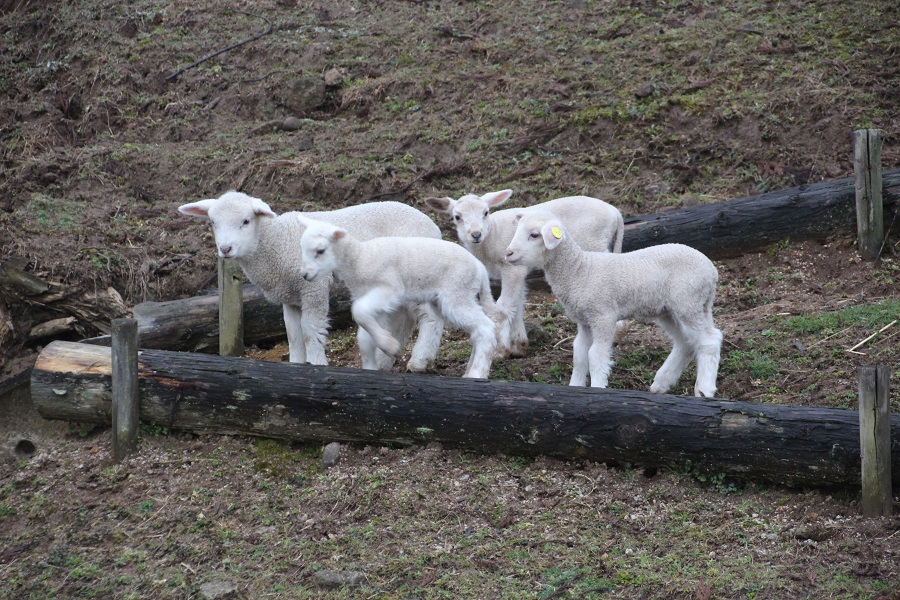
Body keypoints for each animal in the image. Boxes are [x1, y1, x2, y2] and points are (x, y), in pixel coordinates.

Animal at [178, 191, 444, 370]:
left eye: (245, 221)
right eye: (213, 222)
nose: (225, 249)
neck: (275, 243)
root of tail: (433, 227)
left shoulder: (313, 289)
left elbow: (309, 330)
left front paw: (317, 363)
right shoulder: (290, 297)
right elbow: (293, 333)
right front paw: (296, 365)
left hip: (417, 274)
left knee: (430, 318)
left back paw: (419, 361)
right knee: (403, 319)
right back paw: (385, 359)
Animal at [298, 217, 502, 380]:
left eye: (321, 250)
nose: (304, 275)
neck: (360, 259)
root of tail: (480, 268)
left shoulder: (389, 289)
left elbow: (359, 312)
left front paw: (390, 346)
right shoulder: (374, 301)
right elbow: (364, 334)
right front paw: (371, 367)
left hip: (457, 293)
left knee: (485, 326)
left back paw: (477, 374)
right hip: (450, 298)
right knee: (477, 330)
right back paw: (469, 372)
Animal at [426, 189, 624, 356]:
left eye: (486, 213)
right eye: (457, 217)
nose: (476, 234)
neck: (492, 236)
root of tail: (615, 212)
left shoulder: (512, 269)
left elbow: (504, 304)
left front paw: (500, 349)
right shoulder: (519, 270)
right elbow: (518, 303)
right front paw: (518, 345)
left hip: (594, 242)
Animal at [506, 209, 724, 396]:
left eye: (535, 235)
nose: (508, 253)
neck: (579, 270)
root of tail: (711, 270)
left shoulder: (603, 315)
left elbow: (595, 356)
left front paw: (598, 388)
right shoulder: (585, 321)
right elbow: (579, 354)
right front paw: (575, 387)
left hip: (688, 301)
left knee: (709, 340)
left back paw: (704, 389)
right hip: (669, 309)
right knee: (685, 342)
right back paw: (661, 383)